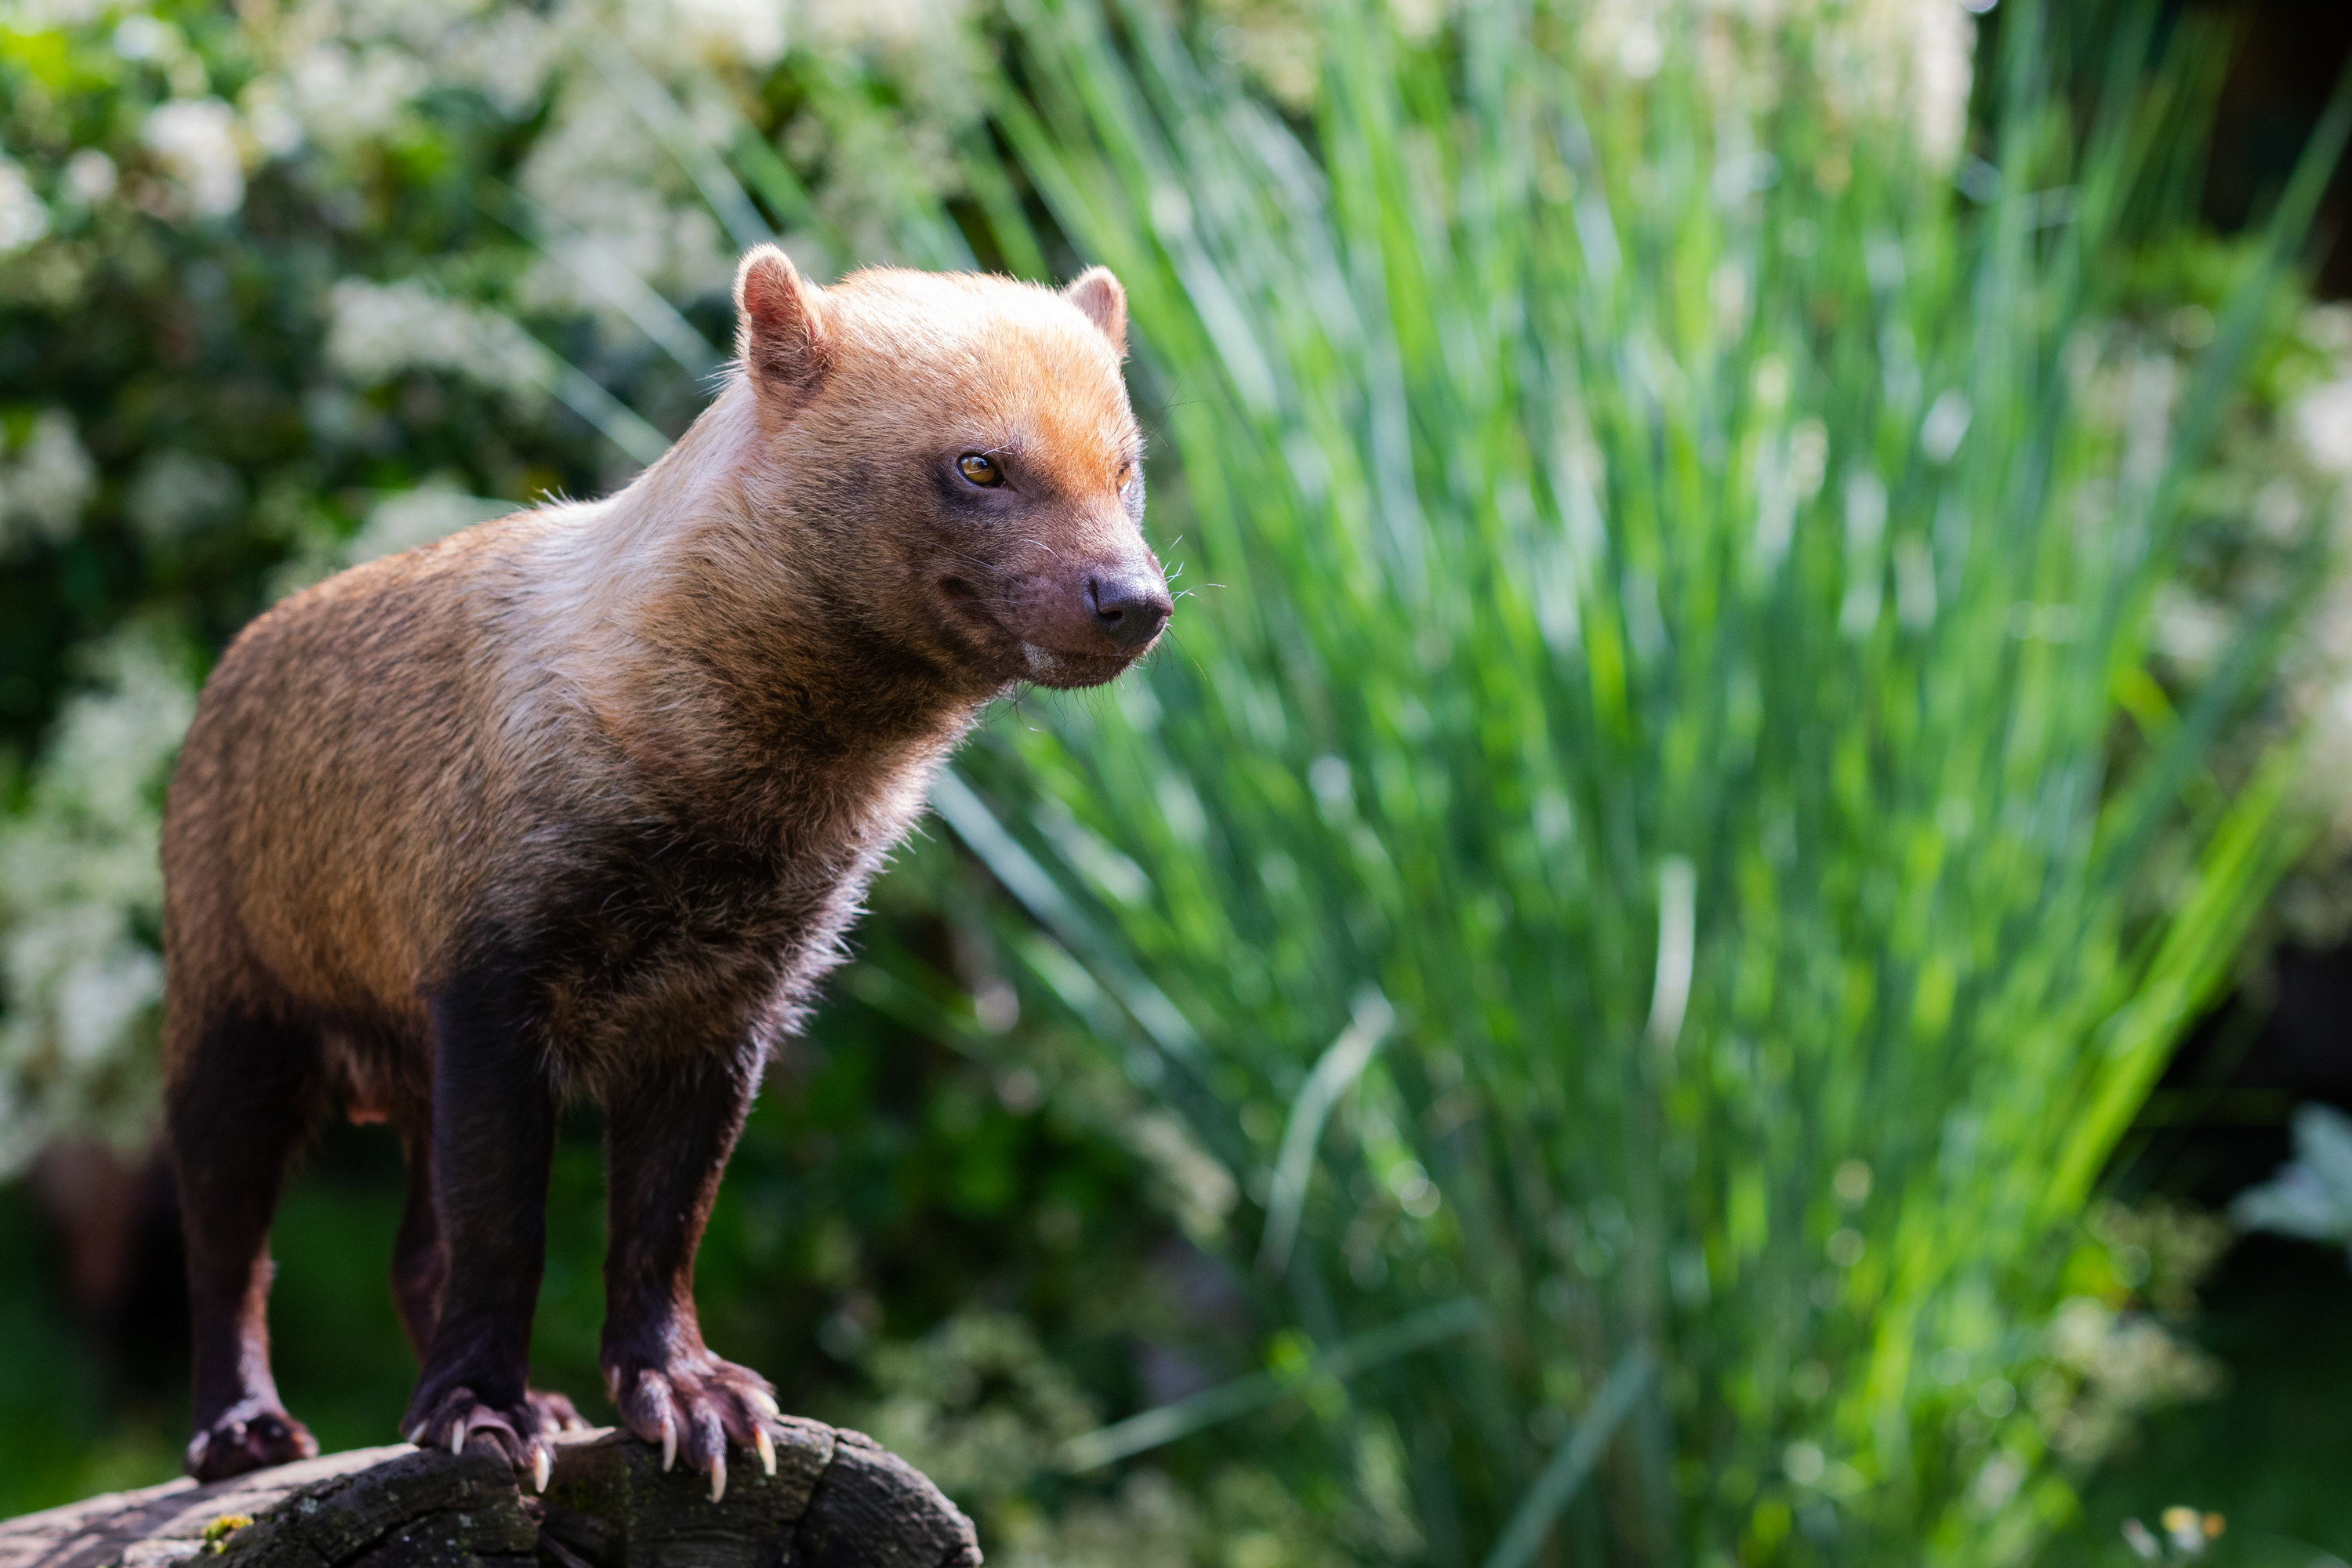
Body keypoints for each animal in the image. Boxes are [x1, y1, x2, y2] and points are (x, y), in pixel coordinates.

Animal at [156, 248, 1167, 1495]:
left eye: (1126, 467)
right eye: (979, 461)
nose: (1136, 601)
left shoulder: (724, 1014)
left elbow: (661, 1224)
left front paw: (689, 1401)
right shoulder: (490, 990)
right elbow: (508, 1227)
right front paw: (478, 1416)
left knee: (405, 1251)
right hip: (232, 1031)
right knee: (225, 1244)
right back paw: (245, 1433)